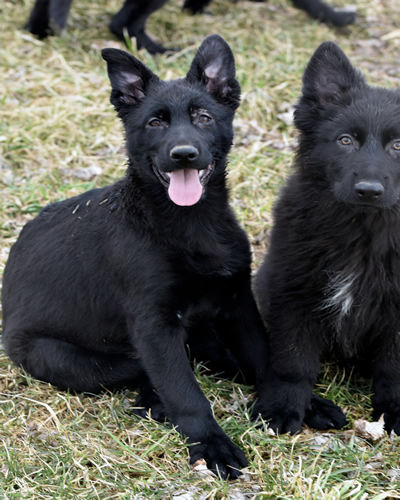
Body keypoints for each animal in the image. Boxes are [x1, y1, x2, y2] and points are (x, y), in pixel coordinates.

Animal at [2, 35, 272, 480]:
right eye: (154, 123)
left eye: (203, 117)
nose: (183, 154)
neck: (188, 223)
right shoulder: (154, 325)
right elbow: (186, 392)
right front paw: (211, 444)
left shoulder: (237, 300)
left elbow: (263, 352)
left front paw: (293, 401)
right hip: (65, 357)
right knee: (151, 371)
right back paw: (157, 400)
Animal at [255, 41, 400, 436]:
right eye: (345, 140)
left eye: (399, 146)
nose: (369, 190)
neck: (364, 230)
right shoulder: (294, 294)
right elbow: (293, 363)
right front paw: (283, 407)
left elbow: (394, 369)